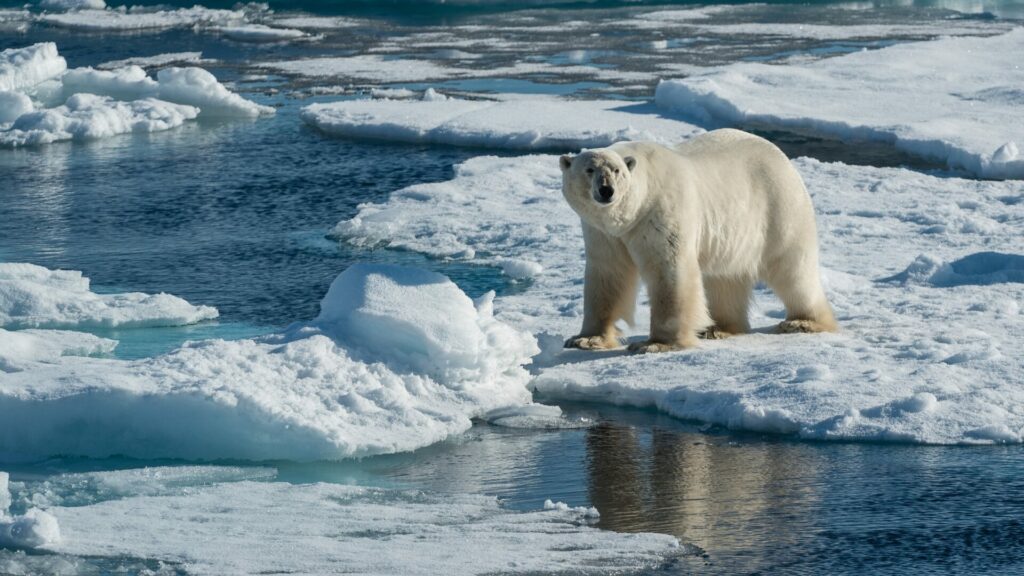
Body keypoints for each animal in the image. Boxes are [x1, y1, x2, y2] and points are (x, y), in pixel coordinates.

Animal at [565, 128, 835, 352]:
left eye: (617, 171)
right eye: (589, 170)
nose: (606, 190)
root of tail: (782, 157)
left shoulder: (661, 212)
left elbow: (669, 272)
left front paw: (656, 343)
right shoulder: (602, 233)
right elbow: (608, 274)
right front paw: (586, 339)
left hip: (778, 208)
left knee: (793, 269)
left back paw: (803, 322)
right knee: (726, 277)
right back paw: (719, 328)